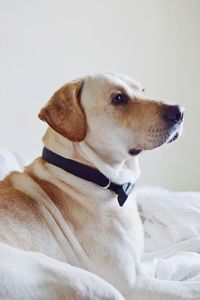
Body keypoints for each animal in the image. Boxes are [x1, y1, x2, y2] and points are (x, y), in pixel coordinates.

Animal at [0, 73, 197, 300]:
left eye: (142, 91)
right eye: (118, 98)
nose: (180, 111)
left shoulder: (141, 256)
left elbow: (187, 243)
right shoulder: (134, 283)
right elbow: (191, 288)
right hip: (91, 282)